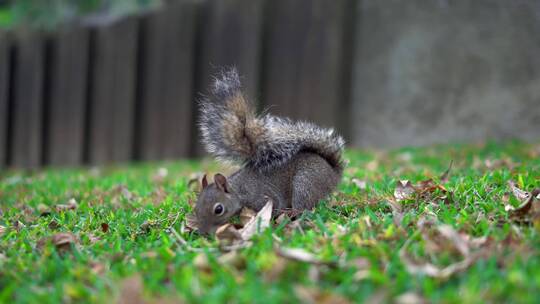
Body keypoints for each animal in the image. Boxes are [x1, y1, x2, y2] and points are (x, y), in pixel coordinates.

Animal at [194, 69, 344, 235]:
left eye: (218, 209)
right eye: (196, 208)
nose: (202, 233)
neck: (238, 191)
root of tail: (333, 173)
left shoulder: (263, 198)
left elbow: (274, 206)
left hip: (305, 183)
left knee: (304, 205)